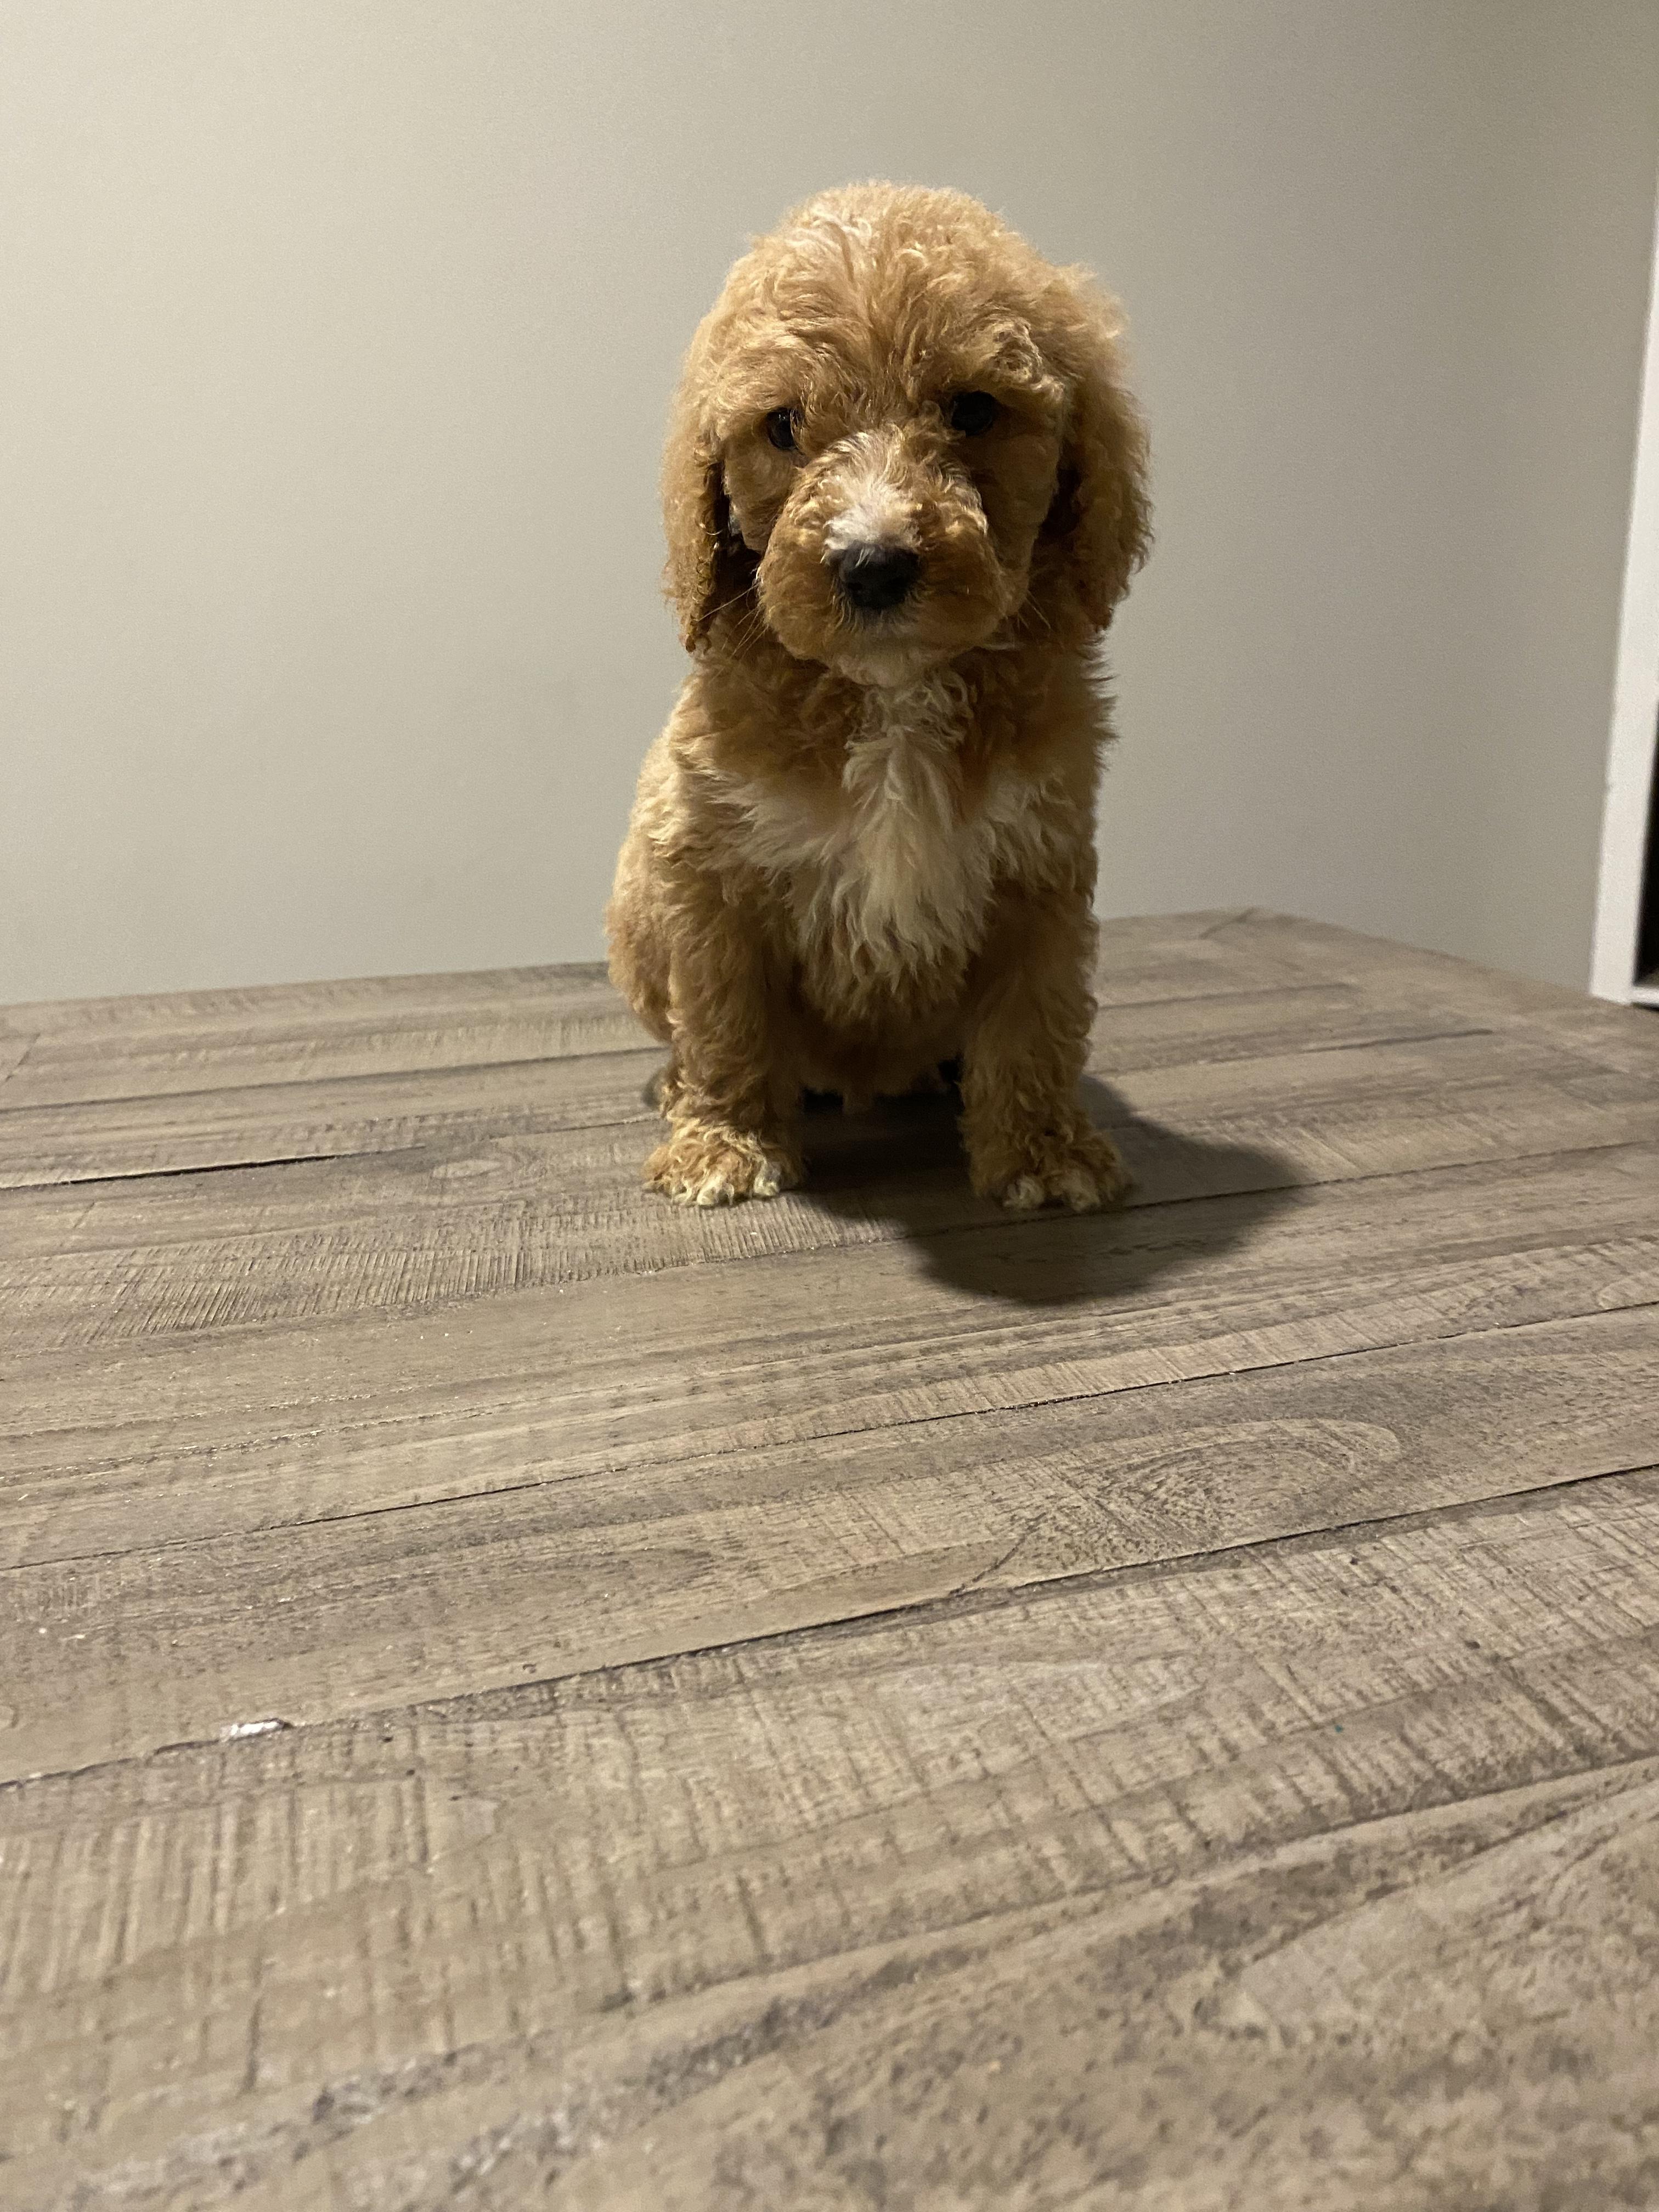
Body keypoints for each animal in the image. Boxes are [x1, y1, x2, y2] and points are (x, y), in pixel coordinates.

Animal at [607, 182, 1150, 1210]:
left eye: (973, 410)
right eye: (782, 426)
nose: (872, 564)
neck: (891, 698)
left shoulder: (1039, 867)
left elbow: (1034, 1017)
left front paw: (1040, 1151)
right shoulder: (705, 865)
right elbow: (725, 1013)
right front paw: (725, 1141)